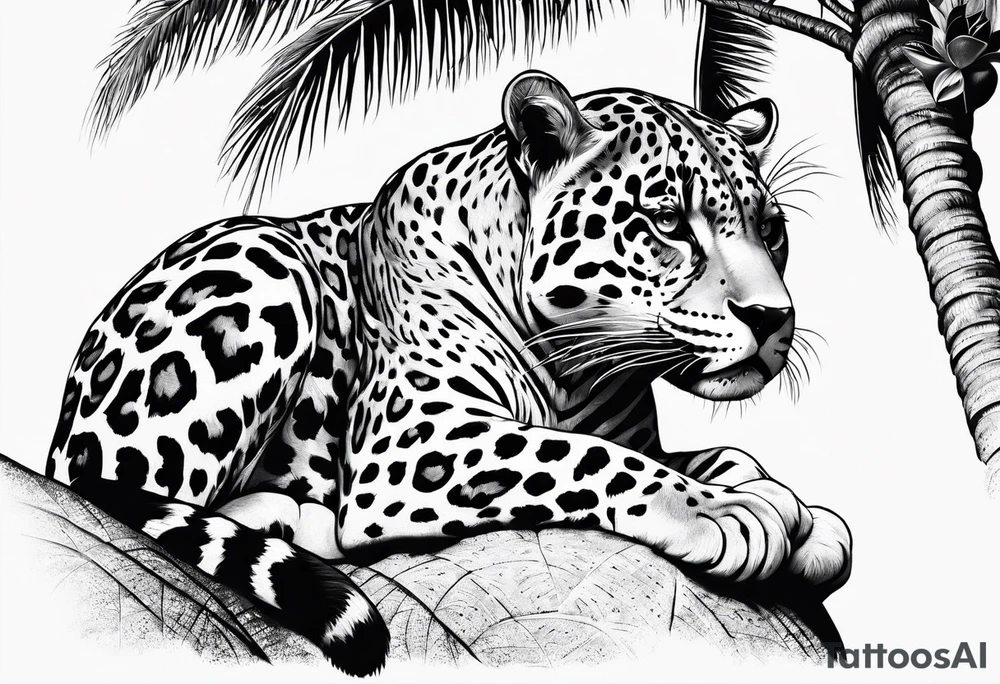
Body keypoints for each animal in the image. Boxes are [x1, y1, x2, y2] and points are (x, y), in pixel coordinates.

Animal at [45, 70, 852, 675]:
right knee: (133, 491)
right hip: (259, 267)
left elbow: (715, 453)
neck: (579, 366)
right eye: (668, 222)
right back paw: (293, 519)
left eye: (773, 230)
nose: (772, 317)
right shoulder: (412, 440)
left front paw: (804, 520)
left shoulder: (632, 432)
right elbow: (582, 457)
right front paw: (724, 514)